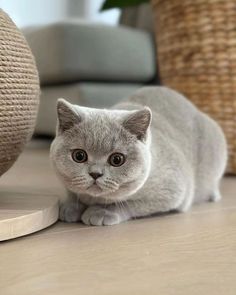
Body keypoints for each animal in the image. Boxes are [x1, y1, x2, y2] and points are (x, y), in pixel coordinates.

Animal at [50, 86, 228, 225]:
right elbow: (74, 193)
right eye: (79, 156)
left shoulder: (173, 191)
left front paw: (101, 212)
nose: (95, 173)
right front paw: (70, 207)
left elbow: (130, 204)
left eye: (117, 159)